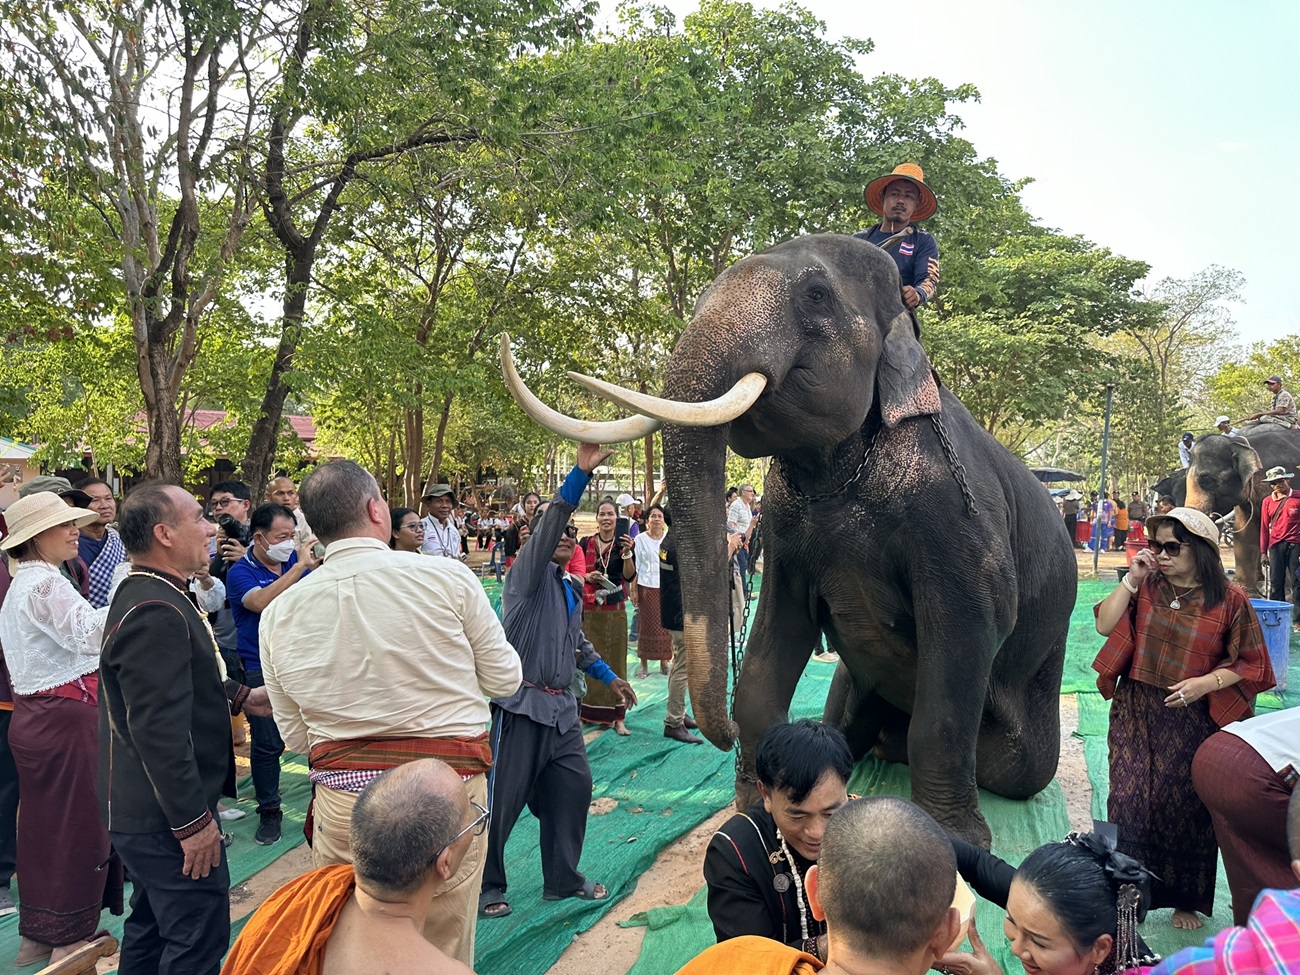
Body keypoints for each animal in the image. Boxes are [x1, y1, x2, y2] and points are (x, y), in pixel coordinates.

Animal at [496, 231, 1076, 847]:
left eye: (817, 295)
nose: (719, 735)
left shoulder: (956, 513)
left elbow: (975, 626)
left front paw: (955, 840)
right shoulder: (781, 523)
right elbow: (779, 625)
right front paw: (756, 801)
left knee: (1012, 767)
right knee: (846, 718)